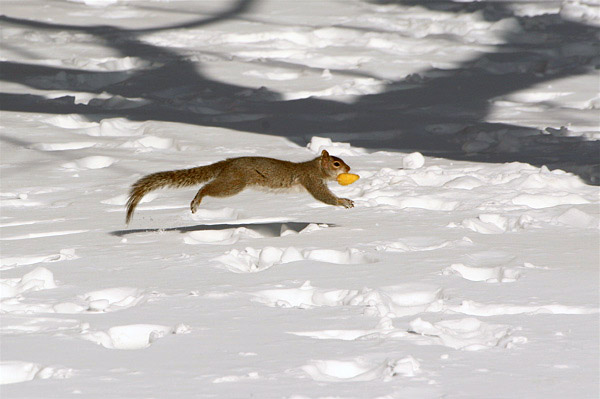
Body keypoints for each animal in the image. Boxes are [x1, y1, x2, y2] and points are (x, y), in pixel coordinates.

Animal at [125, 150, 354, 225]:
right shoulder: (311, 180)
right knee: (207, 188)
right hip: (234, 184)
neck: (315, 167)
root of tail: (226, 164)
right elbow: (323, 196)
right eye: (336, 163)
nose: (349, 168)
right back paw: (196, 200)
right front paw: (343, 201)